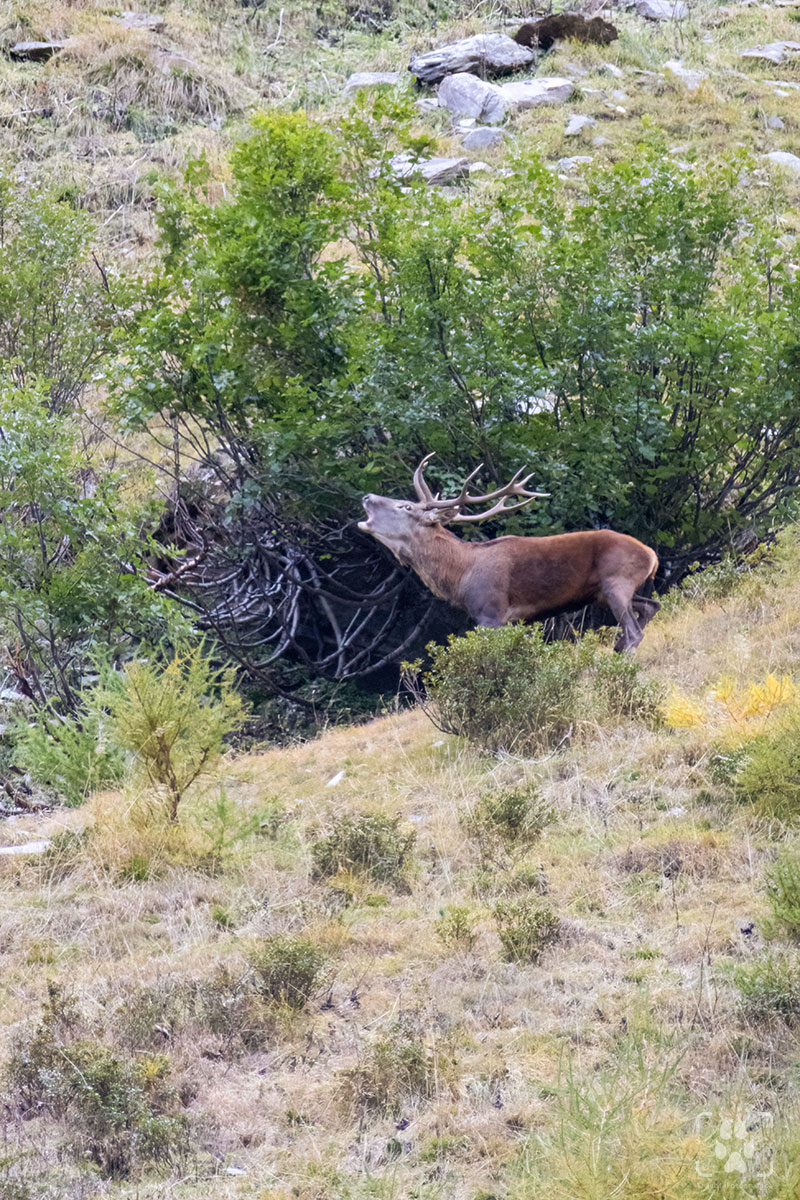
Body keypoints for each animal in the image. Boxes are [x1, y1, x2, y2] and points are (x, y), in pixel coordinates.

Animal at [358, 455, 660, 651]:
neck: (460, 576)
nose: (367, 497)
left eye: (406, 506)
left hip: (617, 581)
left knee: (634, 632)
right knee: (651, 607)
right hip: (606, 592)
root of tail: (652, 556)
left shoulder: (490, 612)